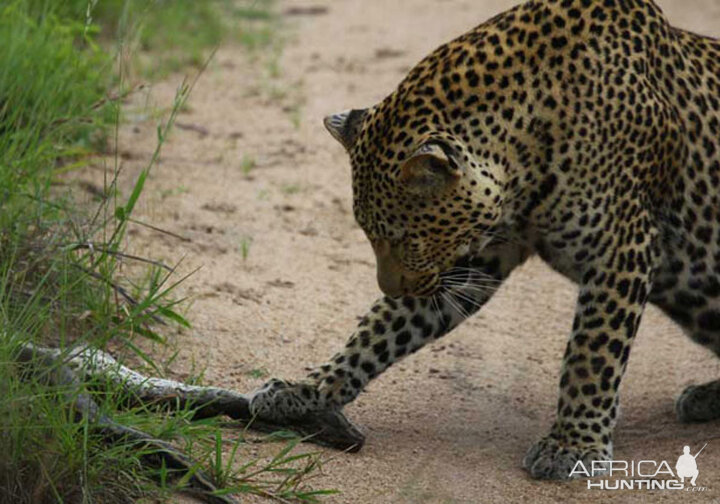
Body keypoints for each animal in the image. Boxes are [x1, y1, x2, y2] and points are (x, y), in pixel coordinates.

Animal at [249, 0, 720, 480]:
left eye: (407, 239)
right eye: (368, 233)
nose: (391, 286)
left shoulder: (622, 244)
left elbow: (593, 351)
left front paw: (573, 443)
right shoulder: (472, 262)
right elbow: (378, 332)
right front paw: (306, 389)